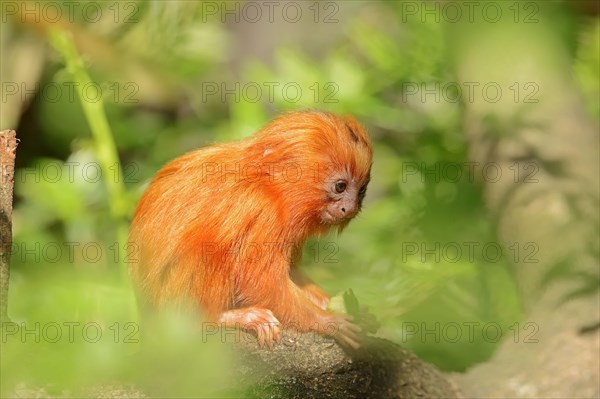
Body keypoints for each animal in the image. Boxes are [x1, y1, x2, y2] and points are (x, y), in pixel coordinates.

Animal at [131, 110, 372, 350]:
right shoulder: (265, 211)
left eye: (361, 191)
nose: (350, 208)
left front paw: (335, 304)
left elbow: (290, 272)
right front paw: (328, 321)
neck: (271, 186)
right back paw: (225, 317)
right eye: (340, 186)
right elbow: (260, 281)